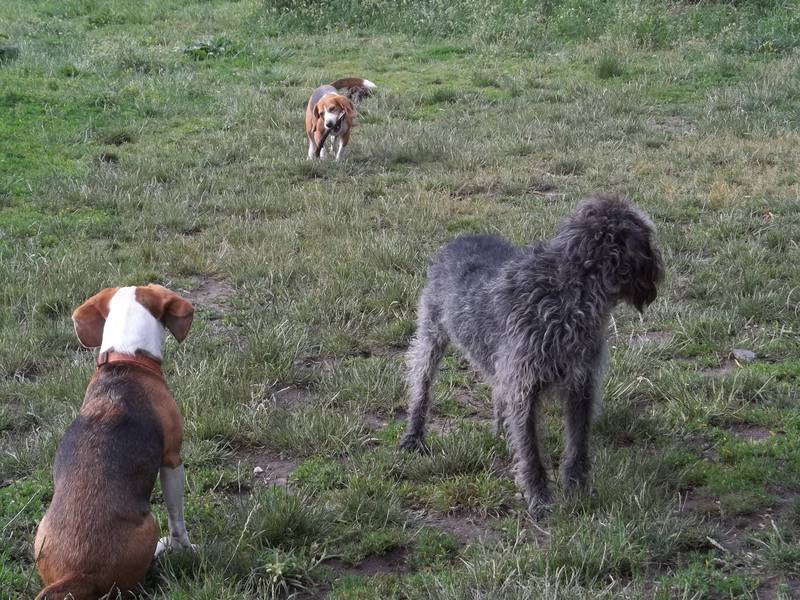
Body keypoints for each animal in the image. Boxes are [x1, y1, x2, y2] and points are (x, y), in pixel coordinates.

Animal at [34, 285, 196, 600]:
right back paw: (159, 551)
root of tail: (77, 574)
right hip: (150, 523)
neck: (126, 357)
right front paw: (183, 547)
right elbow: (177, 518)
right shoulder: (172, 459)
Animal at [399, 194, 664, 518]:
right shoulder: (524, 388)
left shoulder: (581, 386)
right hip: (431, 337)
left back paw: (500, 435)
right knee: (421, 385)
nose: (659, 266)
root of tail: (459, 239)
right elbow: (532, 453)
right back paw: (414, 435)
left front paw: (578, 489)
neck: (571, 287)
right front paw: (539, 498)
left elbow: (578, 443)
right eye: (648, 237)